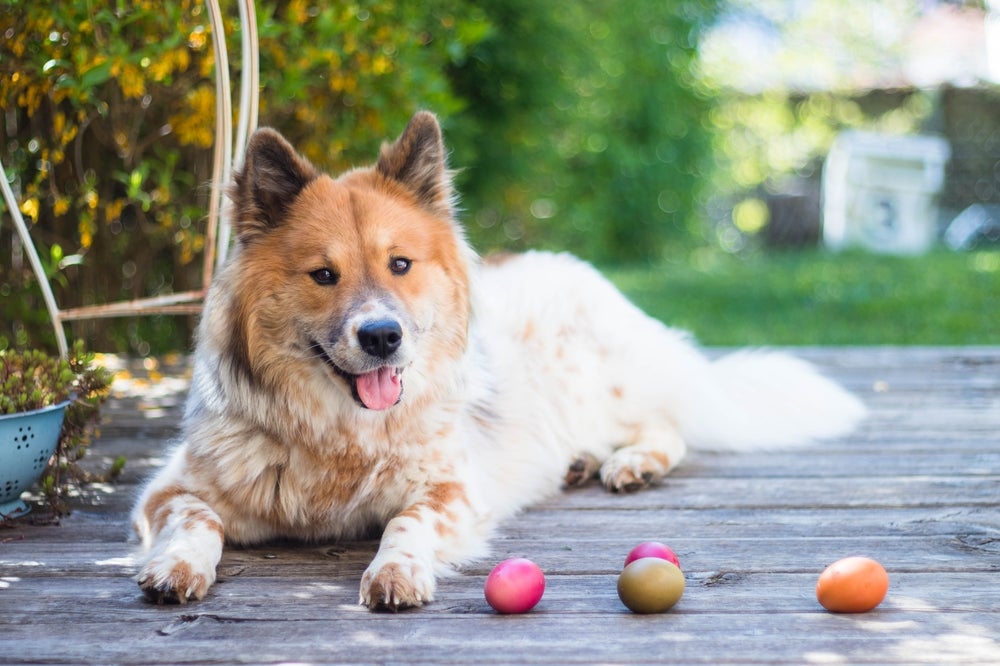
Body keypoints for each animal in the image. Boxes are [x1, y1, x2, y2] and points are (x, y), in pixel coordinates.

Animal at [133, 113, 868, 608]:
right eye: (323, 275)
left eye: (400, 265)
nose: (382, 337)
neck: (339, 439)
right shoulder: (167, 490)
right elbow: (196, 519)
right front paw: (177, 569)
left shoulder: (451, 488)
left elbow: (405, 523)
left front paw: (396, 571)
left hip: (601, 384)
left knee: (668, 424)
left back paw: (630, 462)